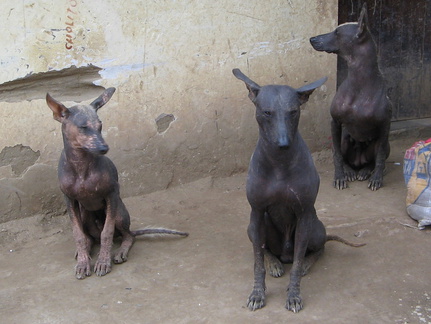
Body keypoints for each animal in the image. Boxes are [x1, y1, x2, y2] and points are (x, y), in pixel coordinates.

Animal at [46, 88, 188, 278]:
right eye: (83, 127)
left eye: (100, 125)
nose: (104, 148)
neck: (81, 165)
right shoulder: (69, 200)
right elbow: (78, 235)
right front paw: (83, 263)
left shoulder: (111, 195)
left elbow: (107, 232)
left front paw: (103, 262)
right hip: (84, 213)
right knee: (90, 237)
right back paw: (87, 249)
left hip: (119, 212)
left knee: (127, 235)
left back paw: (120, 251)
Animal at [233, 69, 364, 314]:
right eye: (267, 112)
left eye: (293, 112)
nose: (283, 143)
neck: (279, 163)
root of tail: (284, 253)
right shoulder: (256, 212)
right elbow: (257, 262)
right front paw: (257, 293)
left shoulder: (304, 215)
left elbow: (297, 264)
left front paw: (294, 294)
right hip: (255, 226)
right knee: (264, 248)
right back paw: (274, 262)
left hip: (315, 227)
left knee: (316, 249)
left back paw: (305, 263)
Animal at [308, 3, 394, 190]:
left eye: (337, 33)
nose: (312, 39)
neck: (359, 83)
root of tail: (358, 162)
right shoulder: (335, 122)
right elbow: (337, 156)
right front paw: (340, 176)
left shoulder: (385, 126)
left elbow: (380, 157)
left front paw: (377, 178)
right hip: (343, 138)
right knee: (343, 156)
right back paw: (349, 170)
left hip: (383, 142)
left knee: (376, 159)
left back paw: (366, 171)